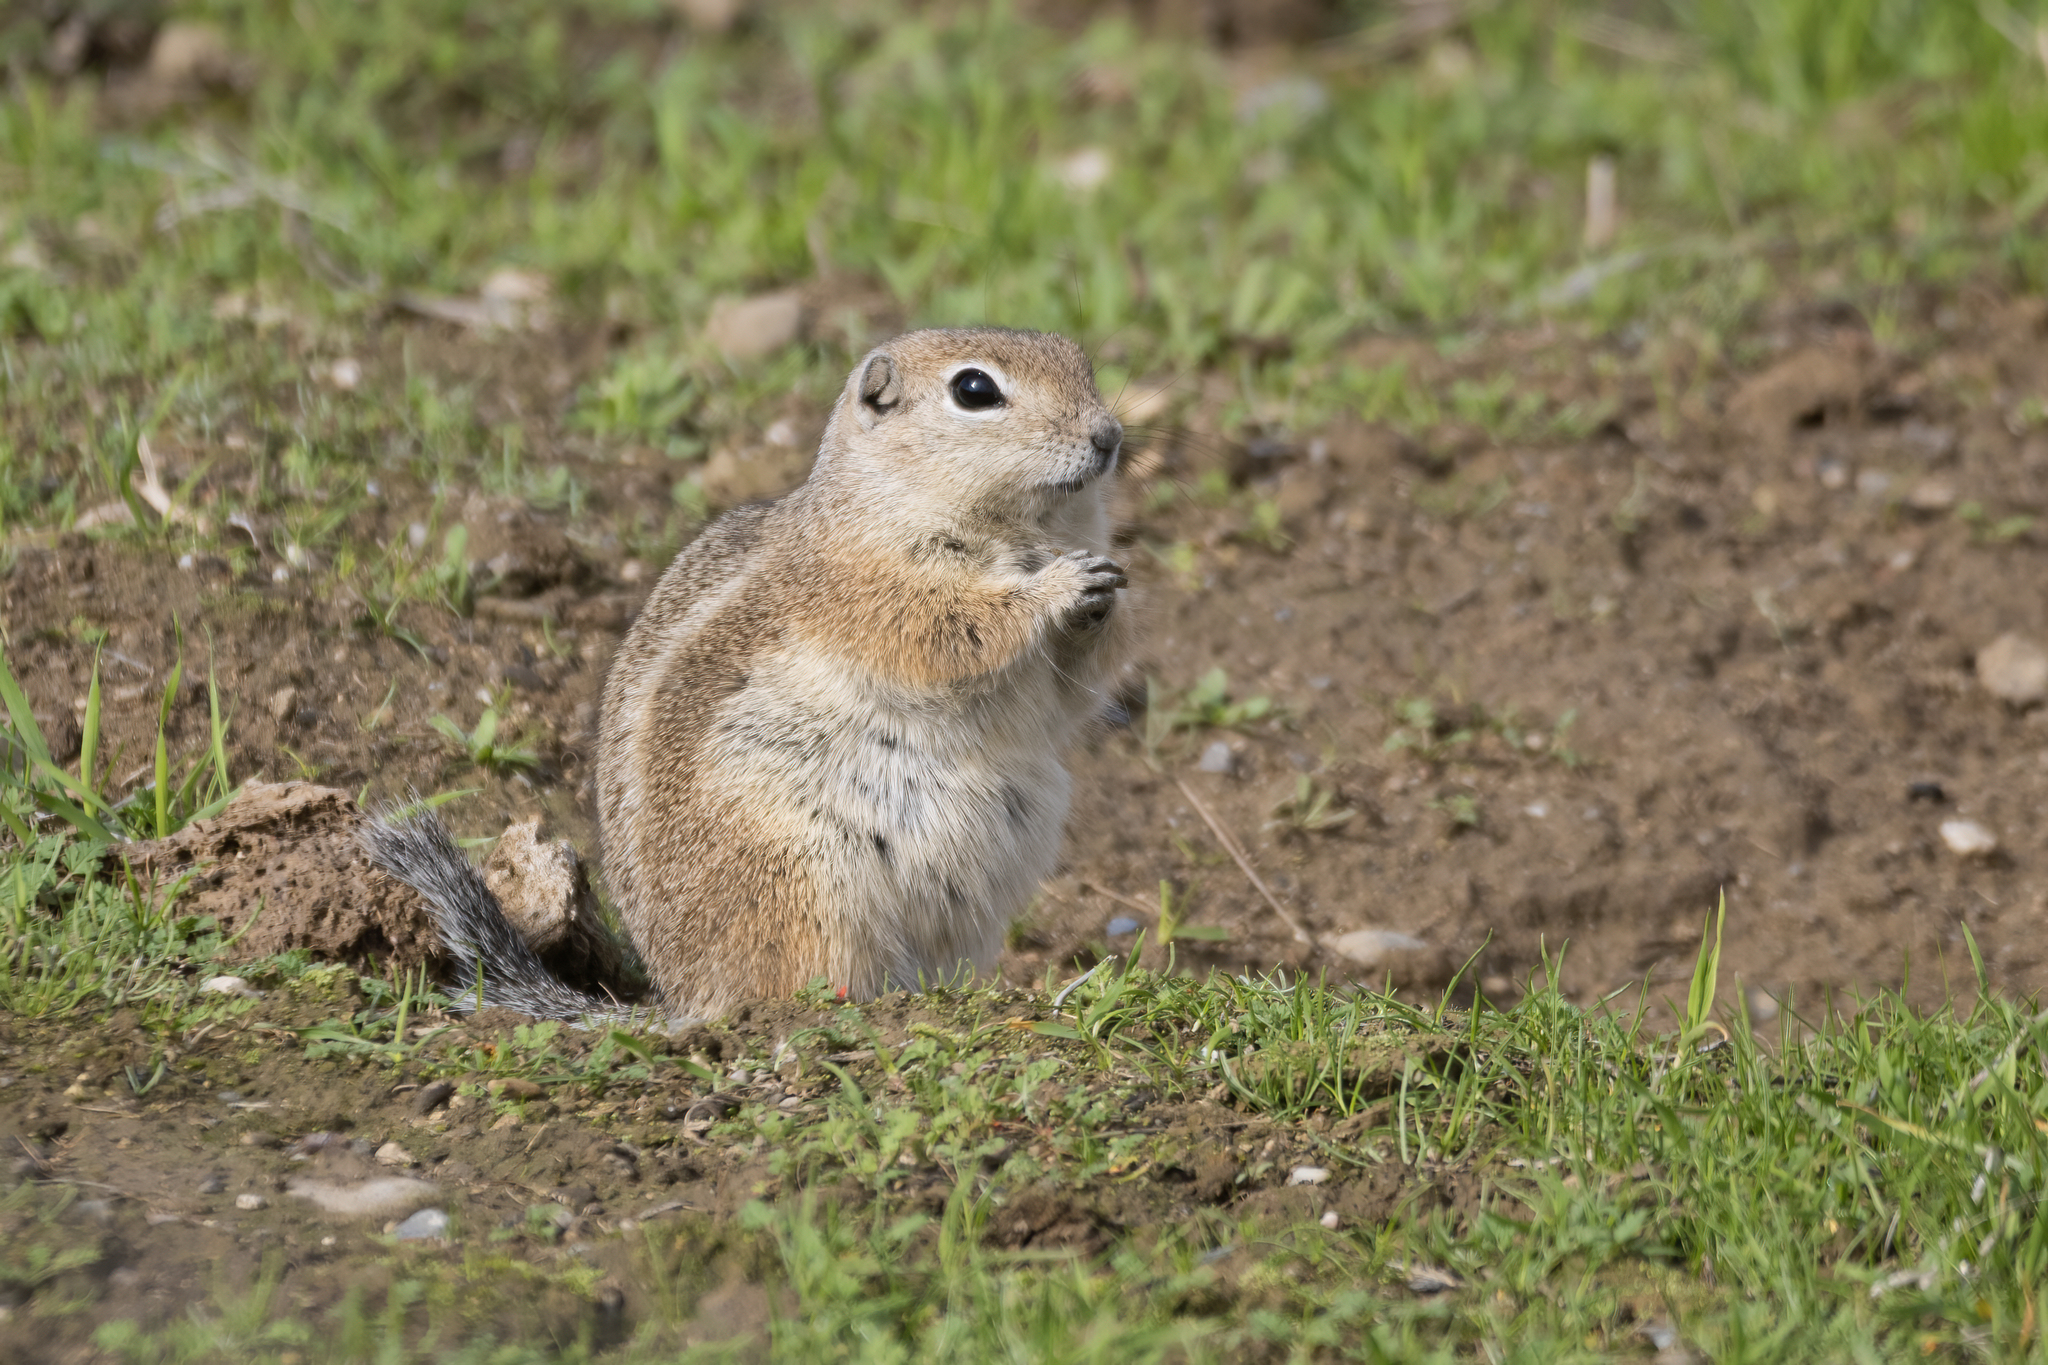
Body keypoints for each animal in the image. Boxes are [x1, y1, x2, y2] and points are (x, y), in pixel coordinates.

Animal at [363, 327, 1132, 1022]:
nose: (1109, 437)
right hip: (801, 878)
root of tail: (684, 997)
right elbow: (949, 631)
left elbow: (1075, 689)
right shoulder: (868, 589)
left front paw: (1106, 593)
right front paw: (1057, 587)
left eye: (1081, 358)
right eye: (975, 390)